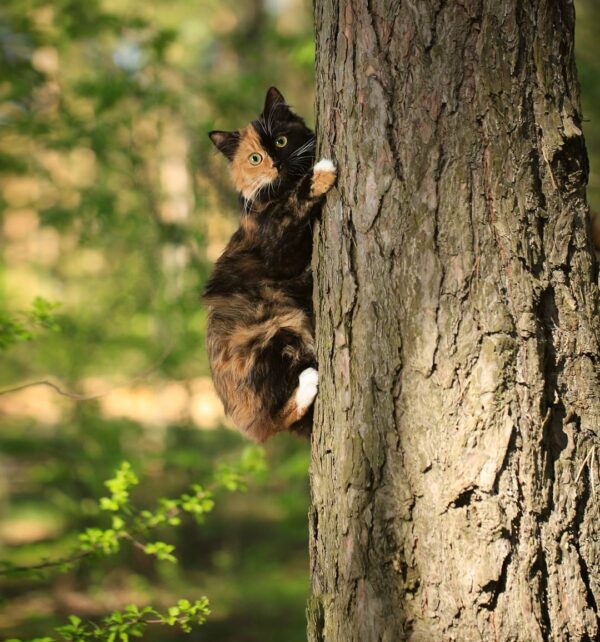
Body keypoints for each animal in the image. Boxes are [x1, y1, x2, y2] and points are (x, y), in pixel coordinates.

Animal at [204, 86, 338, 440]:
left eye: (280, 141)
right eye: (256, 158)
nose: (277, 163)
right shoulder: (277, 247)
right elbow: (295, 203)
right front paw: (320, 172)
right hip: (275, 335)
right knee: (278, 415)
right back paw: (308, 382)